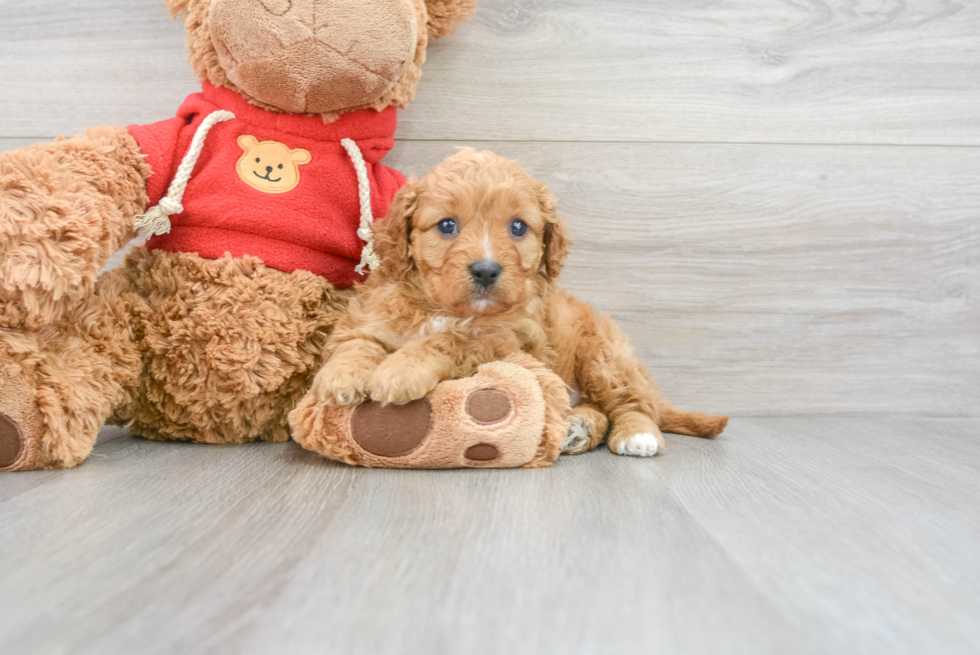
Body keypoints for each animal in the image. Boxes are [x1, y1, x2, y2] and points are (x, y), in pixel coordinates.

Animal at [314, 149, 728, 456]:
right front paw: (339, 376)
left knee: (632, 403)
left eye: (517, 227)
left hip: (604, 355)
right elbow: (357, 342)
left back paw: (635, 436)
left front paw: (400, 371)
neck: (446, 309)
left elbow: (451, 339)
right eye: (447, 225)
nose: (485, 271)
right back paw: (576, 428)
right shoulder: (372, 314)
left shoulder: (509, 339)